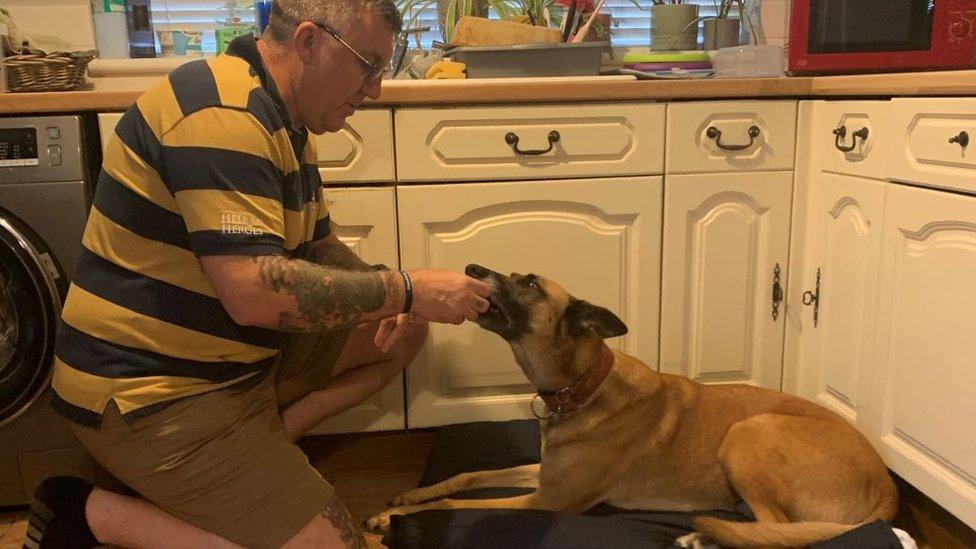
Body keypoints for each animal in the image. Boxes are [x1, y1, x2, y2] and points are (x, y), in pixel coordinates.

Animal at [368, 264, 900, 544]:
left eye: (531, 285)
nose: (473, 270)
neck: (583, 387)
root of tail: (888, 487)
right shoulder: (543, 475)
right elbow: (465, 476)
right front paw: (408, 496)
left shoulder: (549, 500)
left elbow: (460, 502)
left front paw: (393, 520)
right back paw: (703, 533)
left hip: (749, 432)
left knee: (779, 532)